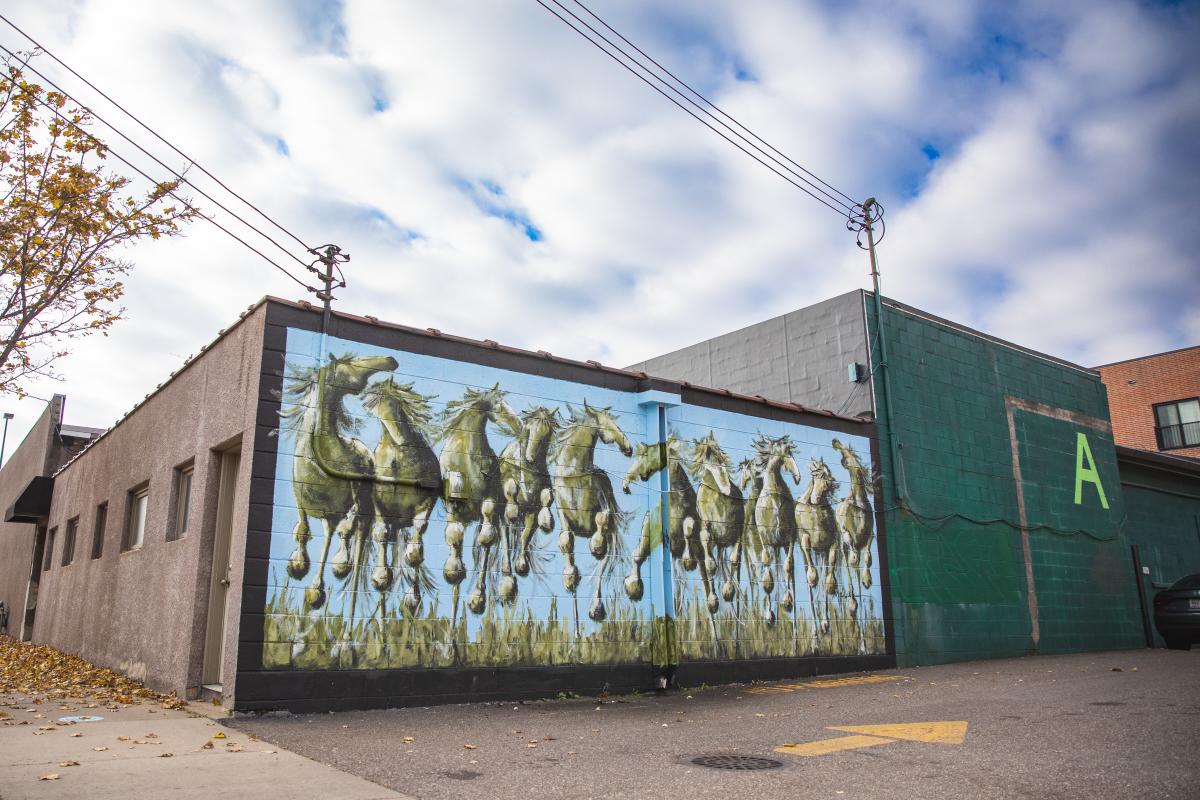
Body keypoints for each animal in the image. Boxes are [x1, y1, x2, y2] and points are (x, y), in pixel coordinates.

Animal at [364, 379, 446, 618]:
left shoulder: (424, 506)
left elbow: (415, 553)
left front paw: (413, 601)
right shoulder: (379, 504)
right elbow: (381, 534)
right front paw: (380, 577)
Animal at [549, 402, 633, 623]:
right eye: (610, 424)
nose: (628, 447)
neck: (573, 472)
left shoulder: (601, 505)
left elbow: (601, 518)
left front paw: (596, 545)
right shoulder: (562, 512)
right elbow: (566, 540)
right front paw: (570, 578)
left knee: (603, 565)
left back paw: (596, 607)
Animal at [624, 434, 700, 604]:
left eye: (647, 455)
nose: (626, 483)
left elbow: (688, 526)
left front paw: (689, 561)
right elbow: (638, 556)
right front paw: (633, 586)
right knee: (638, 555)